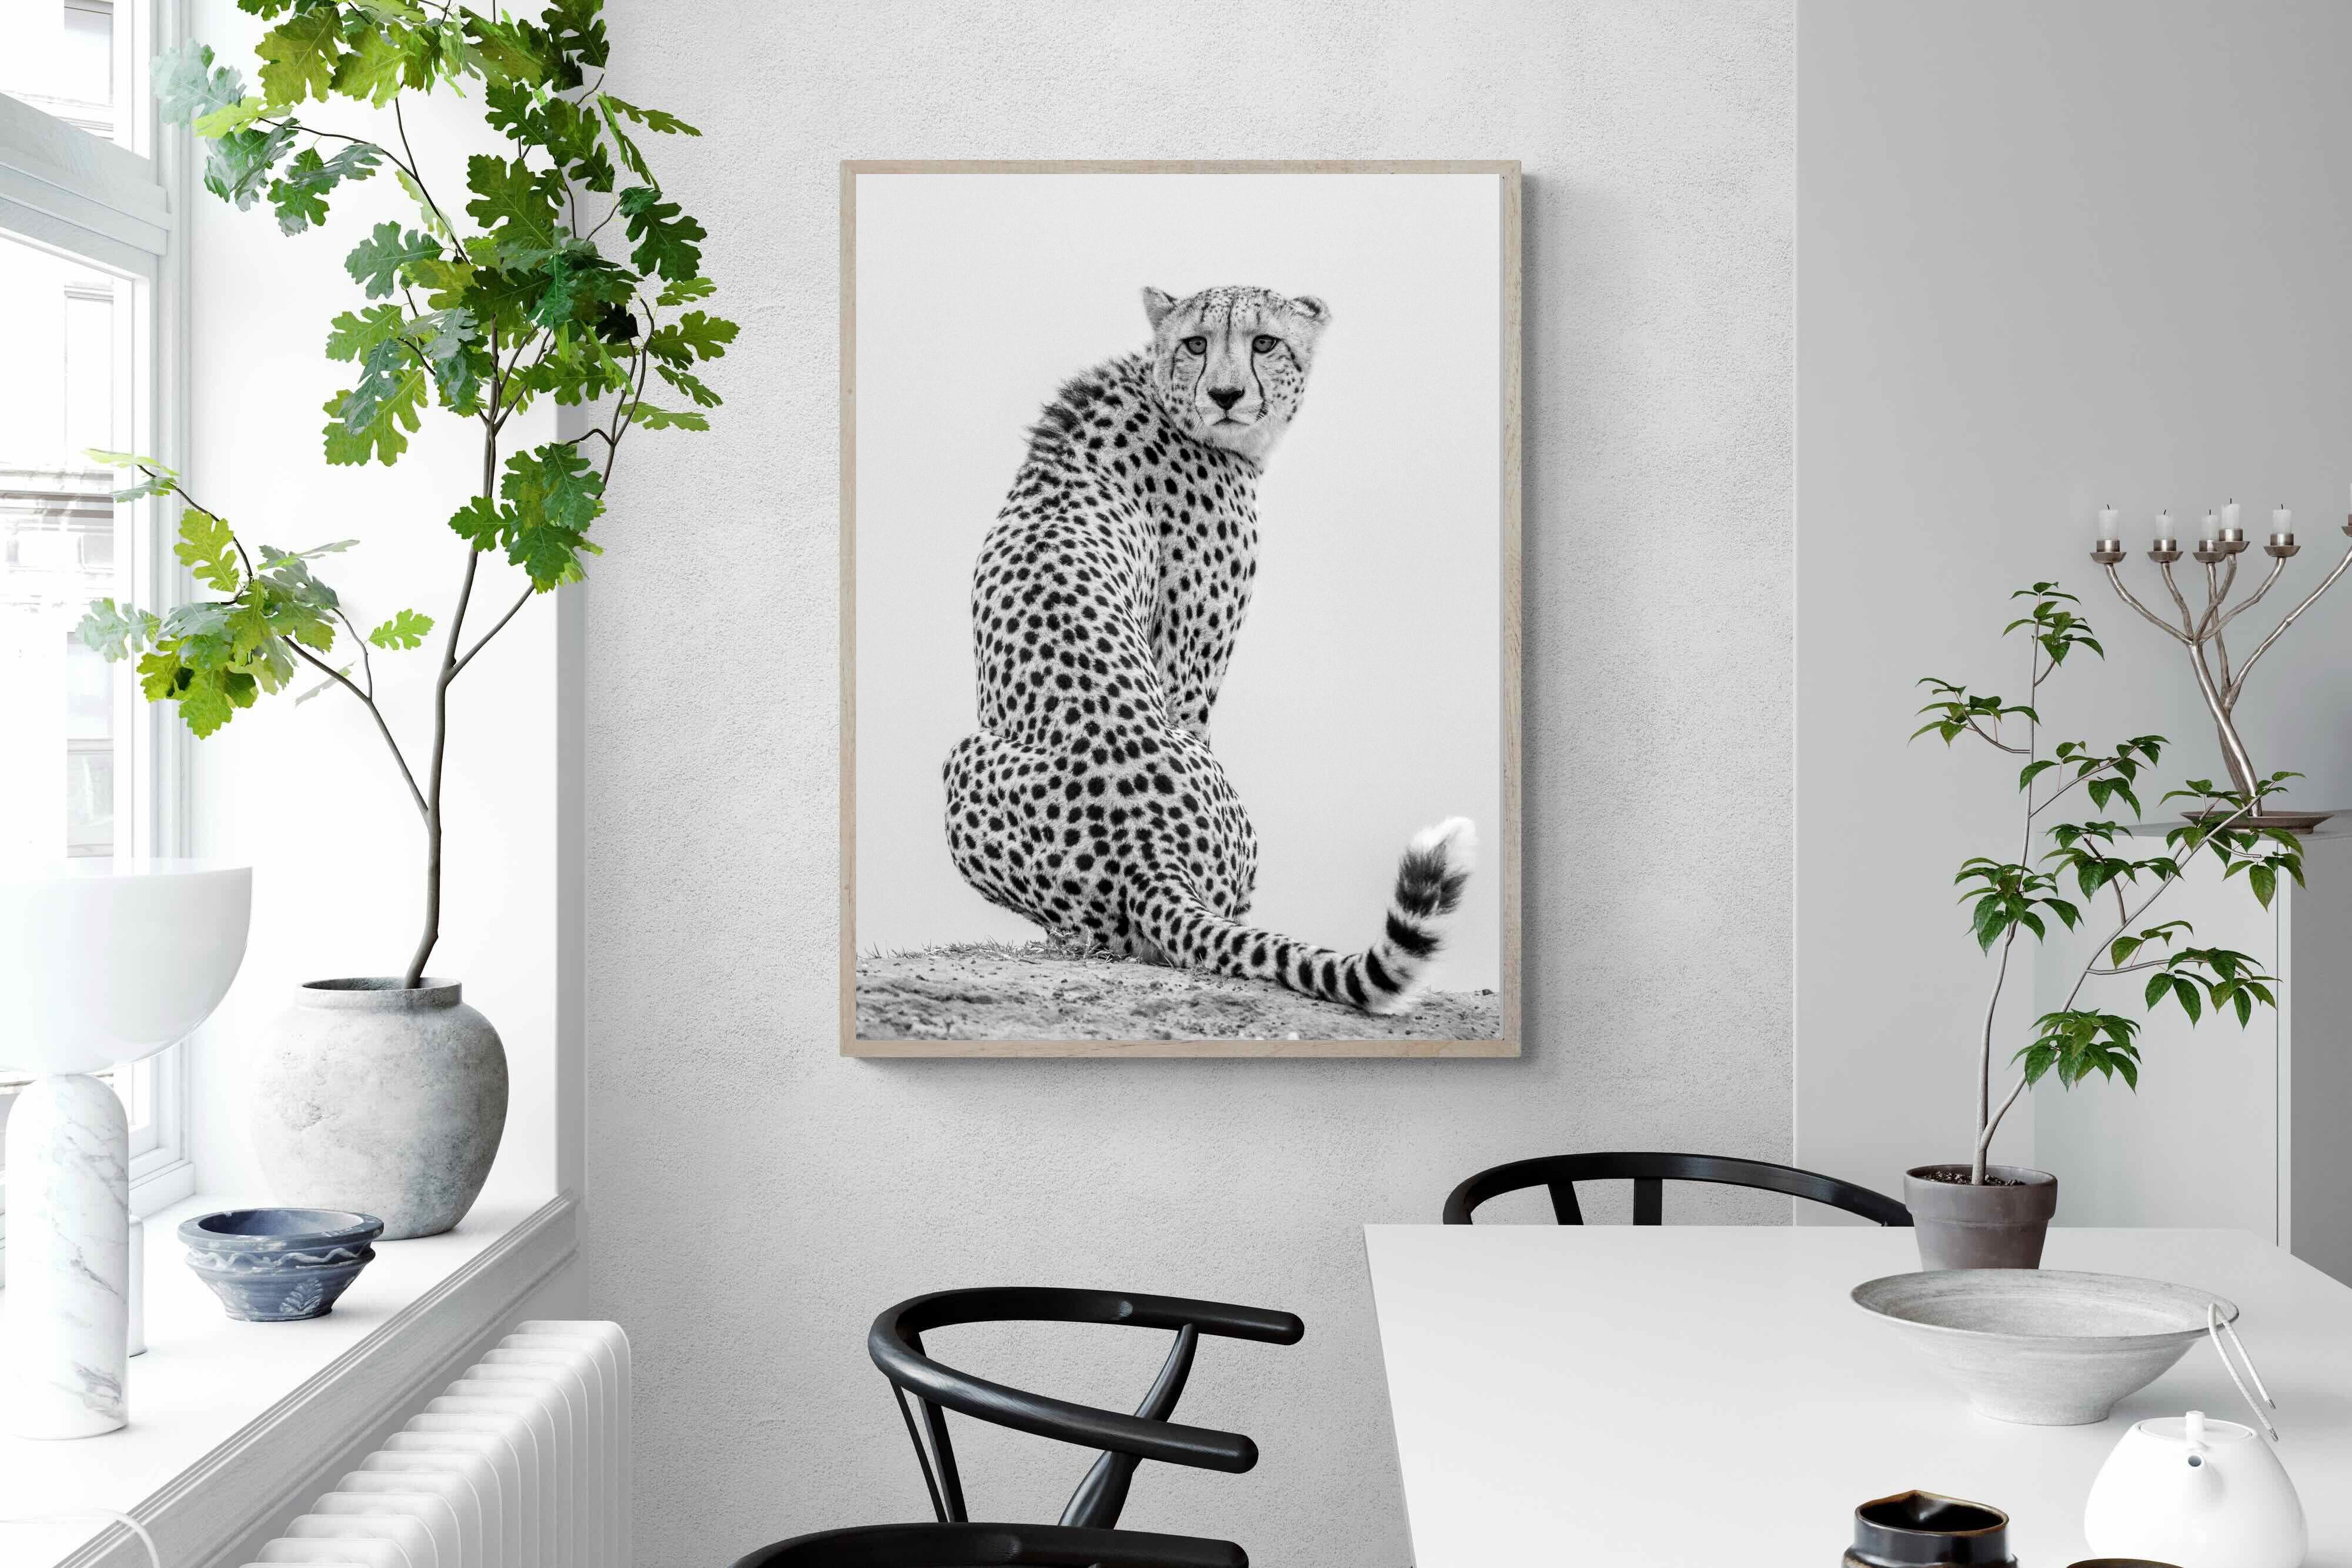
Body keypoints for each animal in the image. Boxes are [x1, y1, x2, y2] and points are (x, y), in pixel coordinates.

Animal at [941, 283, 1475, 1015]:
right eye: (1197, 343)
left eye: (1264, 342)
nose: (1225, 394)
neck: (1159, 392)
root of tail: (1148, 853)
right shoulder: (1187, 670)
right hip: (968, 759)